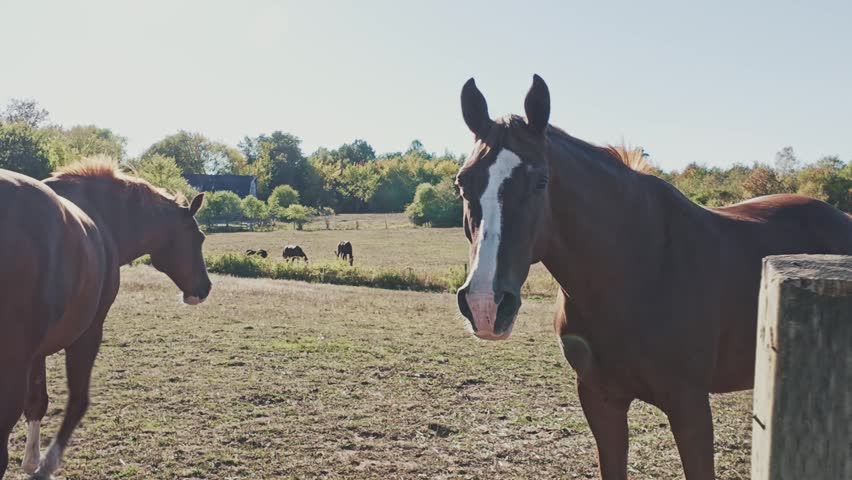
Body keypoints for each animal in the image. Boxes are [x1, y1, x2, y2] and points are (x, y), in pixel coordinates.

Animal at [0, 158, 211, 479]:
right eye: (198, 237)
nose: (205, 288)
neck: (101, 216)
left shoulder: (37, 353)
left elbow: (37, 403)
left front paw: (31, 461)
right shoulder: (87, 334)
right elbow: (77, 402)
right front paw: (45, 465)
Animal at [454, 75, 852, 480]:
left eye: (540, 182)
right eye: (463, 183)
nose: (485, 305)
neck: (638, 271)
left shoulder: (690, 407)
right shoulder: (601, 400)